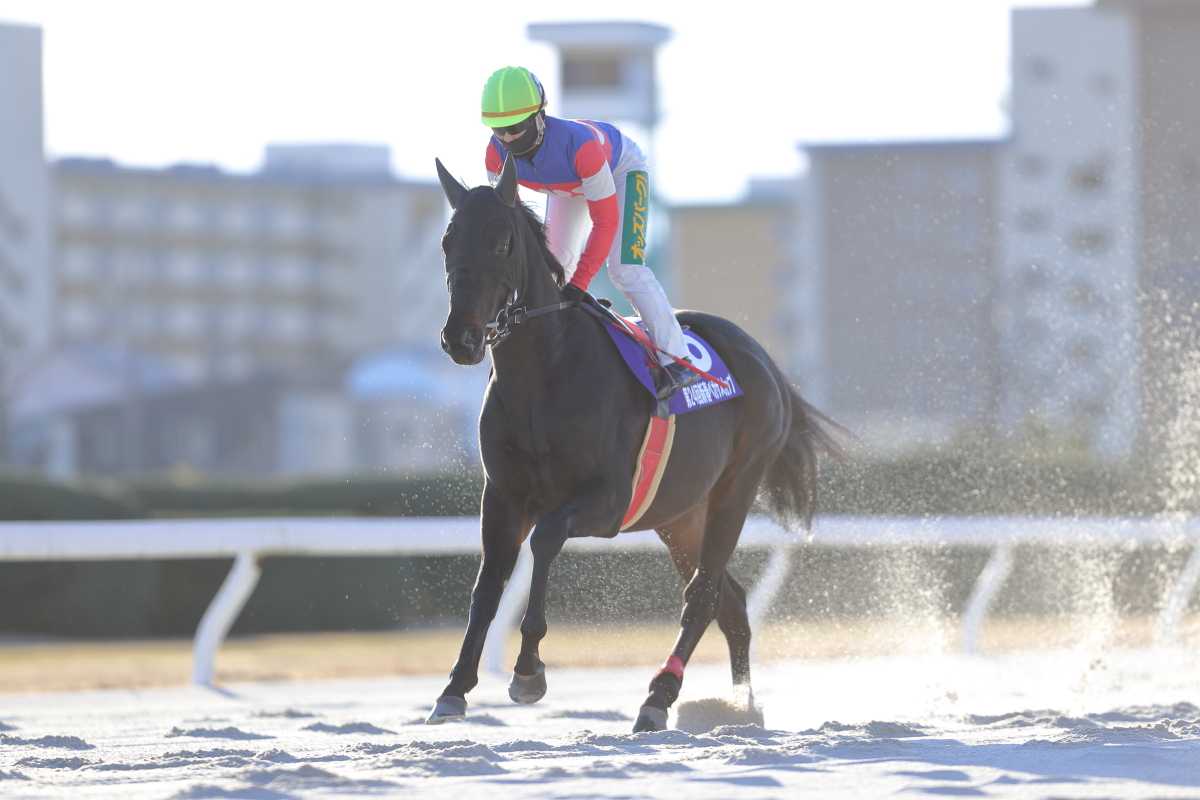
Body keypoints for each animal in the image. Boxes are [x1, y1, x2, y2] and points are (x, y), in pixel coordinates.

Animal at [428, 154, 843, 732]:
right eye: (448, 240)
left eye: (502, 242)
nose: (460, 338)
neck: (544, 374)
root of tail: (764, 360)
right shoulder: (503, 496)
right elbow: (487, 585)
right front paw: (454, 688)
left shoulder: (607, 501)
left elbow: (545, 540)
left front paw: (529, 671)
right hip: (680, 515)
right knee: (732, 603)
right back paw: (741, 708)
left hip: (735, 489)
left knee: (704, 595)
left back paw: (659, 696)